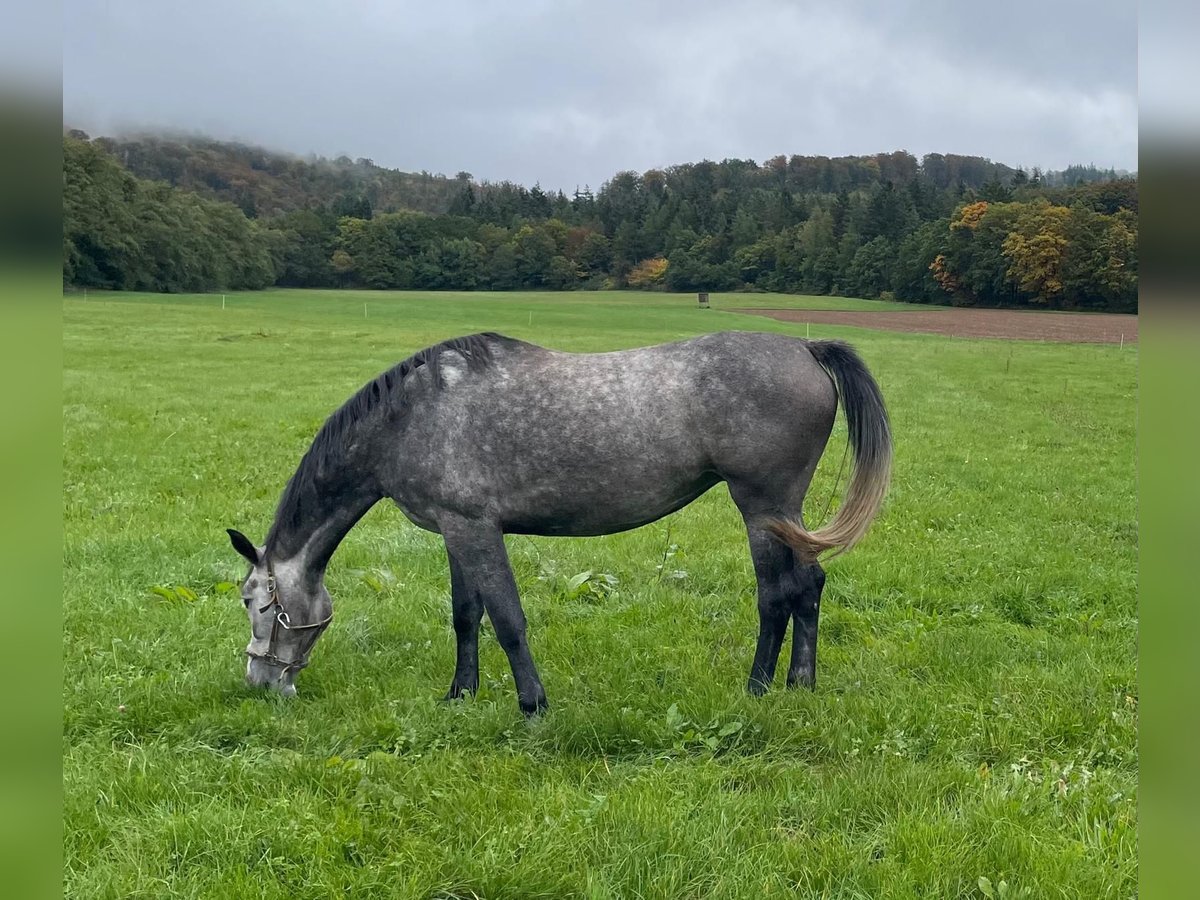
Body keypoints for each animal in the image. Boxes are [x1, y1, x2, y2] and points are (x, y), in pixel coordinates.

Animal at [227, 330, 891, 714]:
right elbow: (465, 616)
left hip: (763, 508)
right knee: (809, 586)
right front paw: (460, 695)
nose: (260, 682)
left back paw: (756, 689)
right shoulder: (455, 531)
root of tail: (805, 348)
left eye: (255, 602)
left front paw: (532, 705)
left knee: (777, 595)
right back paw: (800, 685)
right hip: (788, 515)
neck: (413, 415)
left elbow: (507, 619)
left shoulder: (476, 529)